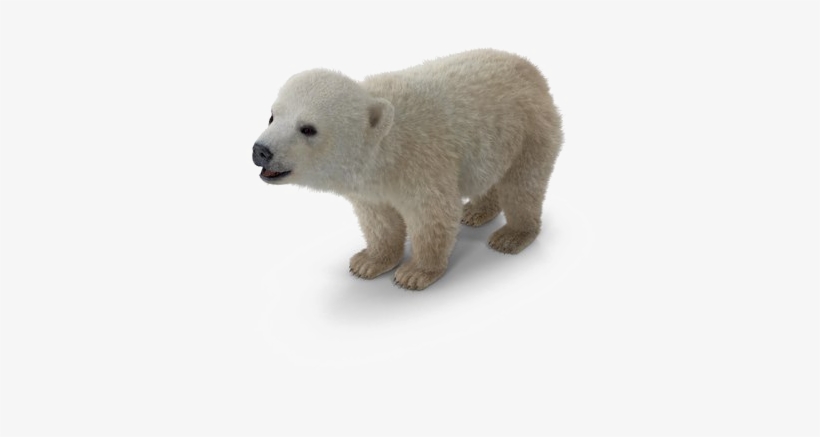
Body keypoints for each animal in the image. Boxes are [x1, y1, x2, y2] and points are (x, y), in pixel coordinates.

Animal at [252, 49, 563, 290]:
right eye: (272, 116)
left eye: (307, 128)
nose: (261, 151)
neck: (386, 143)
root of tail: (532, 69)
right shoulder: (371, 186)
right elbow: (380, 221)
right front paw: (369, 262)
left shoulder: (421, 161)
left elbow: (433, 214)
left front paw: (414, 274)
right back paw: (476, 212)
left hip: (530, 130)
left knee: (523, 185)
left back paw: (511, 236)